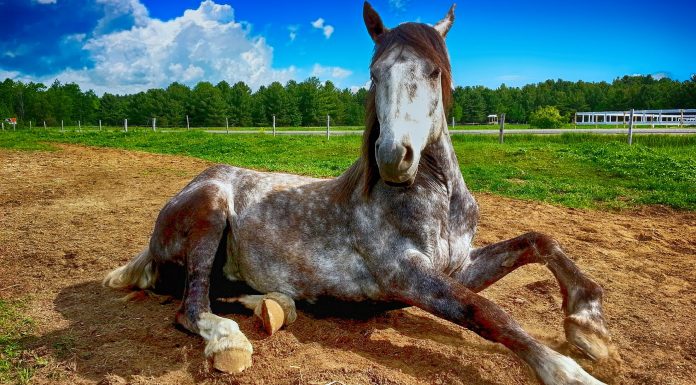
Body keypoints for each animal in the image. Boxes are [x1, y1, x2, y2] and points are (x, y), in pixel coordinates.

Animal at [103, 2, 616, 380]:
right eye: (375, 74)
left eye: (434, 72)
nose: (393, 157)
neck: (436, 199)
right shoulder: (406, 275)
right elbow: (486, 311)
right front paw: (566, 371)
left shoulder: (459, 266)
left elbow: (538, 241)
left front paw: (588, 324)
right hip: (210, 210)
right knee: (192, 306)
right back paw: (230, 340)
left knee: (221, 292)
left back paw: (275, 305)